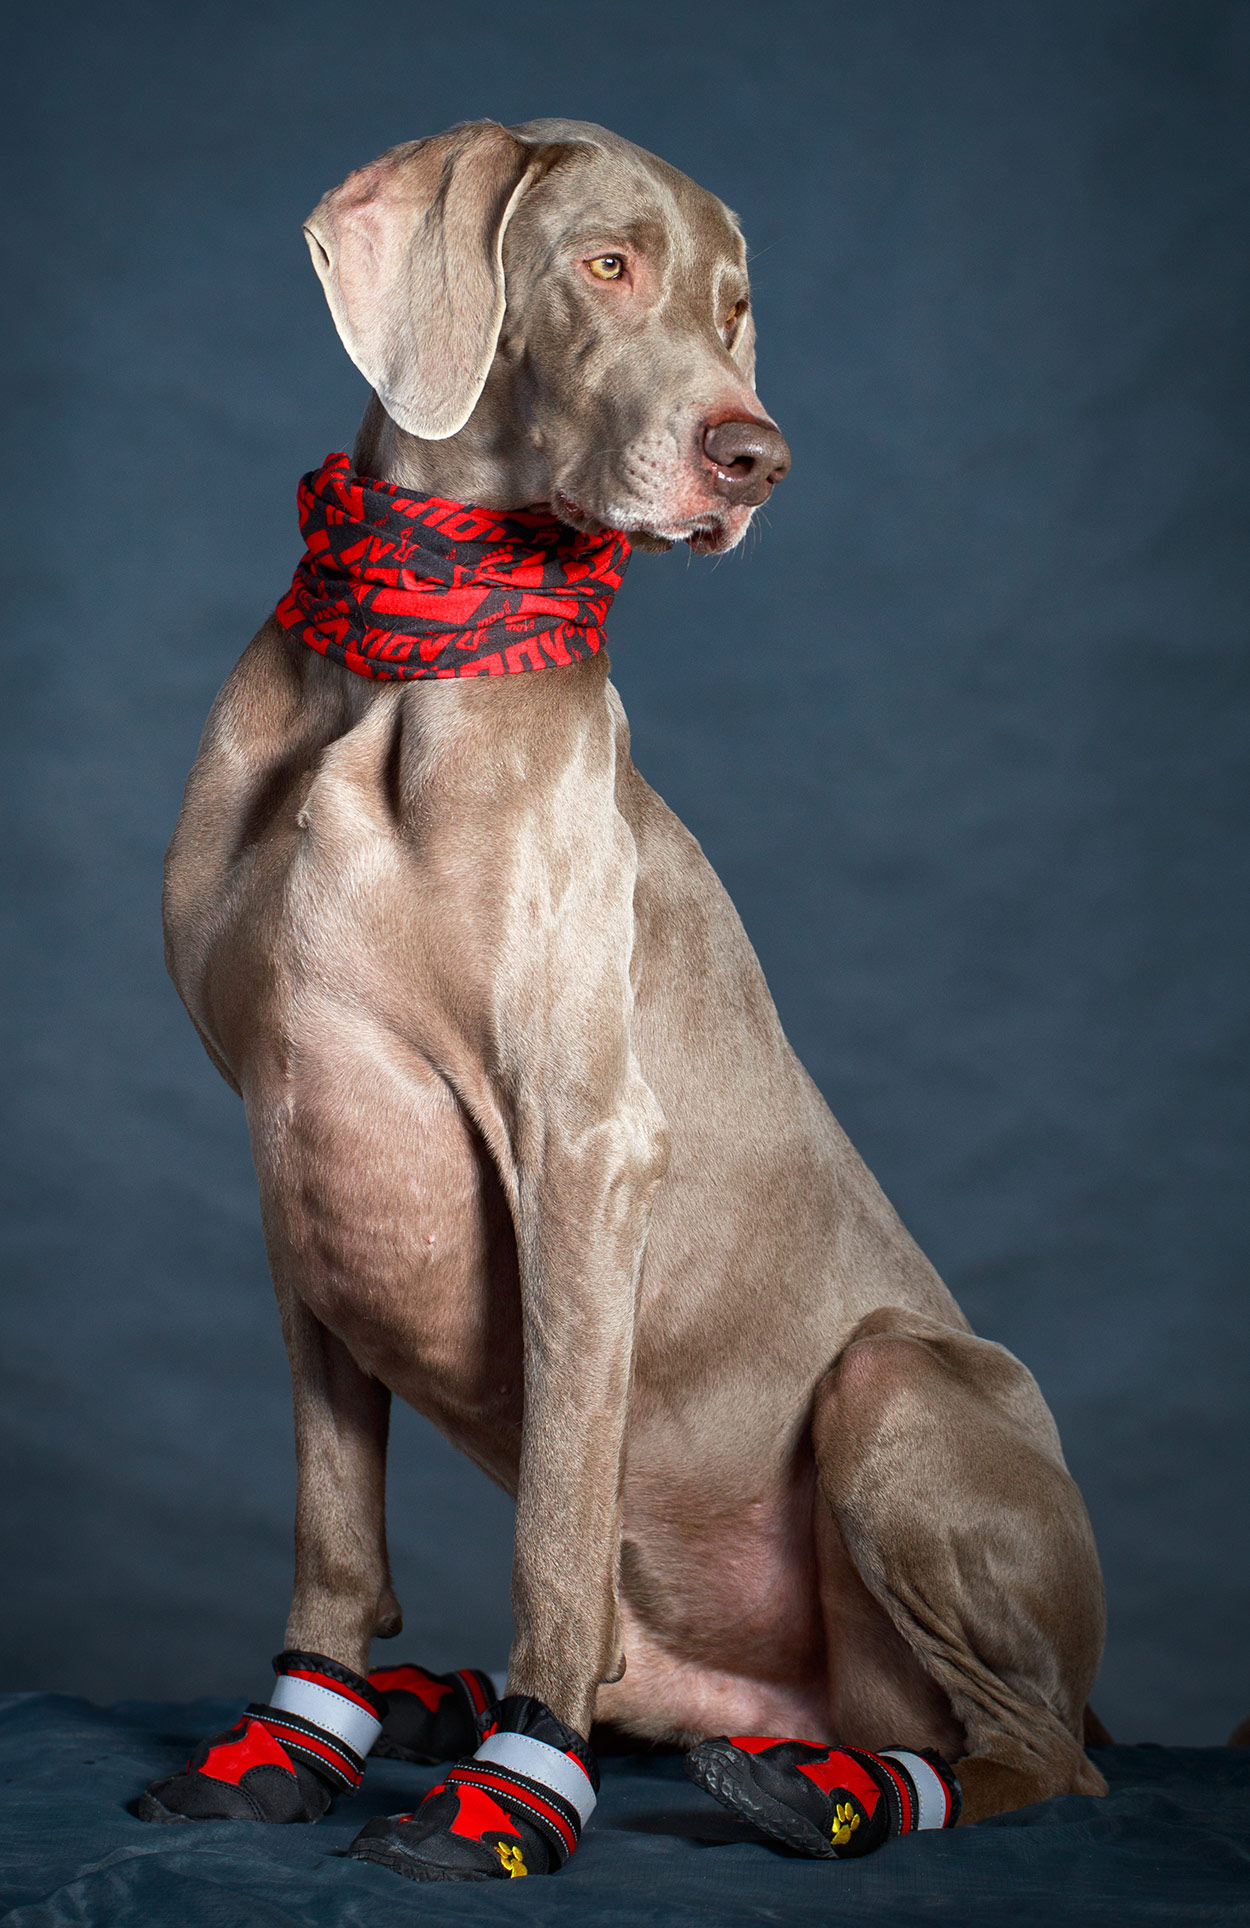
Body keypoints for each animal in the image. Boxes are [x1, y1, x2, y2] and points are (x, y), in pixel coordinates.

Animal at [148, 120, 1103, 1881]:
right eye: (606, 266)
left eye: (736, 312)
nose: (756, 458)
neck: (413, 655)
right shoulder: (292, 1137)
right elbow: (331, 1513)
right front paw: (297, 1742)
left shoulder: (584, 1145)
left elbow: (558, 1516)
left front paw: (516, 1793)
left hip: (899, 1390)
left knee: (1026, 1751)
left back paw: (830, 1796)